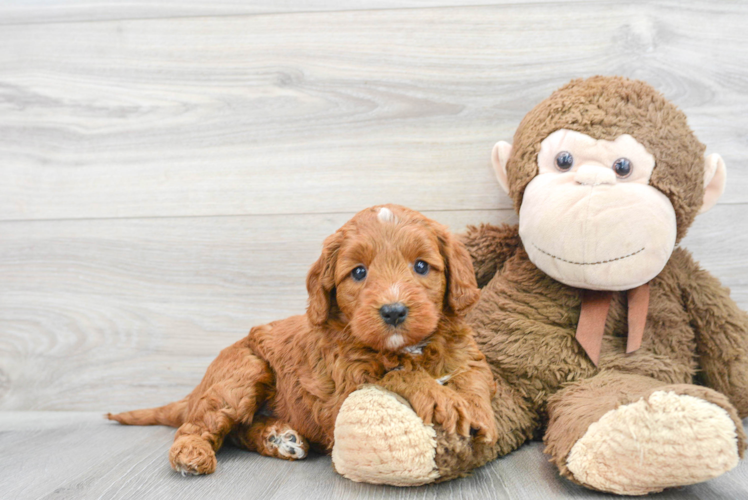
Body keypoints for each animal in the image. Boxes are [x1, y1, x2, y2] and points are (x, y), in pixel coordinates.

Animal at [109, 204, 496, 476]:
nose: (394, 311)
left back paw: (278, 438)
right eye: (359, 272)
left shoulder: (465, 353)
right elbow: (398, 375)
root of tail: (195, 391)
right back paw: (192, 454)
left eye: (421, 266)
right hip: (242, 372)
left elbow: (474, 376)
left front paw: (479, 412)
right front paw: (442, 400)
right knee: (200, 425)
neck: (404, 348)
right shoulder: (343, 391)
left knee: (237, 430)